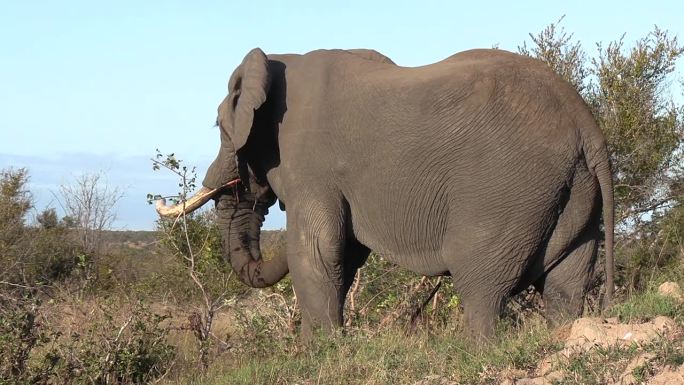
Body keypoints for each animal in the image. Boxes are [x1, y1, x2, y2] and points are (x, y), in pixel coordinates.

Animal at [155, 46, 616, 338]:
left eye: (219, 128)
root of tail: (585, 124)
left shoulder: (311, 165)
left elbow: (316, 252)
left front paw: (319, 355)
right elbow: (343, 255)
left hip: (507, 190)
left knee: (482, 288)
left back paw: (476, 351)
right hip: (570, 191)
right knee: (566, 286)